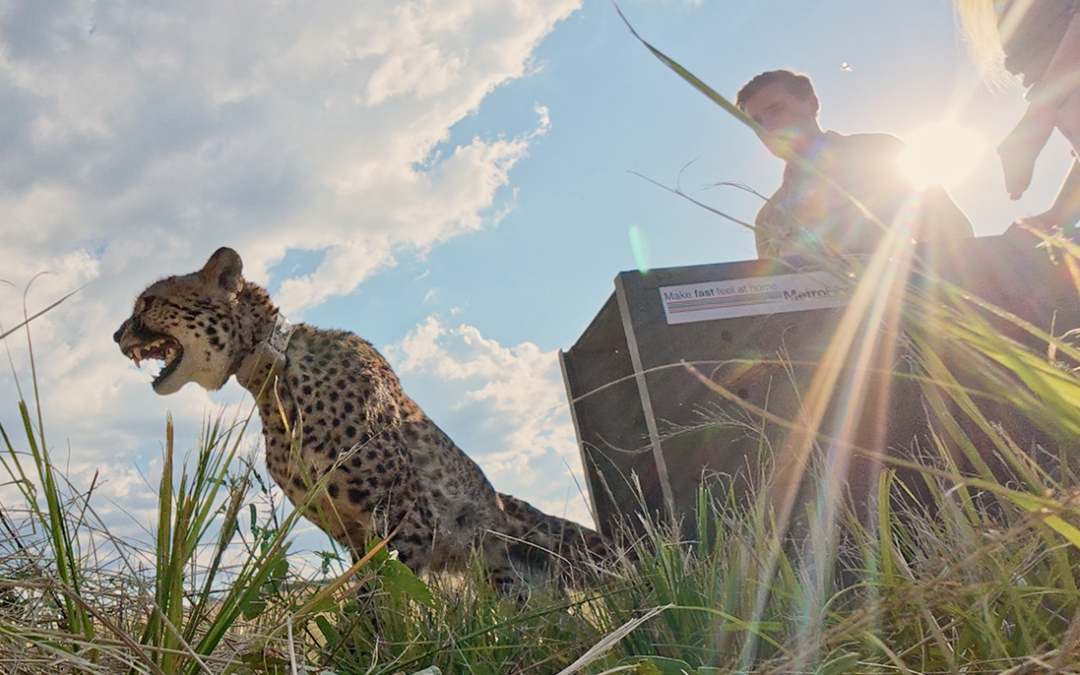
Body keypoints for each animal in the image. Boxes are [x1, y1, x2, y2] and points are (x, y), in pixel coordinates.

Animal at [113, 246, 609, 593]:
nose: (117, 334)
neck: (274, 378)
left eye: (149, 303)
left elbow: (377, 607)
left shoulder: (405, 525)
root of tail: (503, 504)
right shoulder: (352, 536)